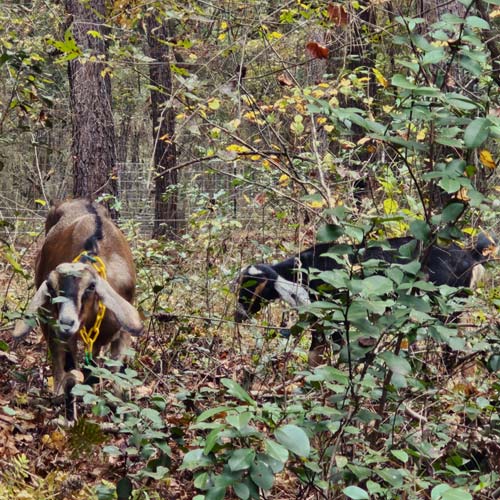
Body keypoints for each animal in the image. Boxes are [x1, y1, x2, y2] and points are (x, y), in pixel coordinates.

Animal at [13, 199, 143, 418]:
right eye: (51, 287)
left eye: (91, 287)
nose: (66, 323)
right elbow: (72, 376)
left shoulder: (122, 332)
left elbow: (117, 375)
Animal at [235, 232, 496, 366]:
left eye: (251, 287)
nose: (238, 315)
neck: (303, 272)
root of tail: (470, 255)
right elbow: (315, 352)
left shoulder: (338, 313)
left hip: (446, 305)